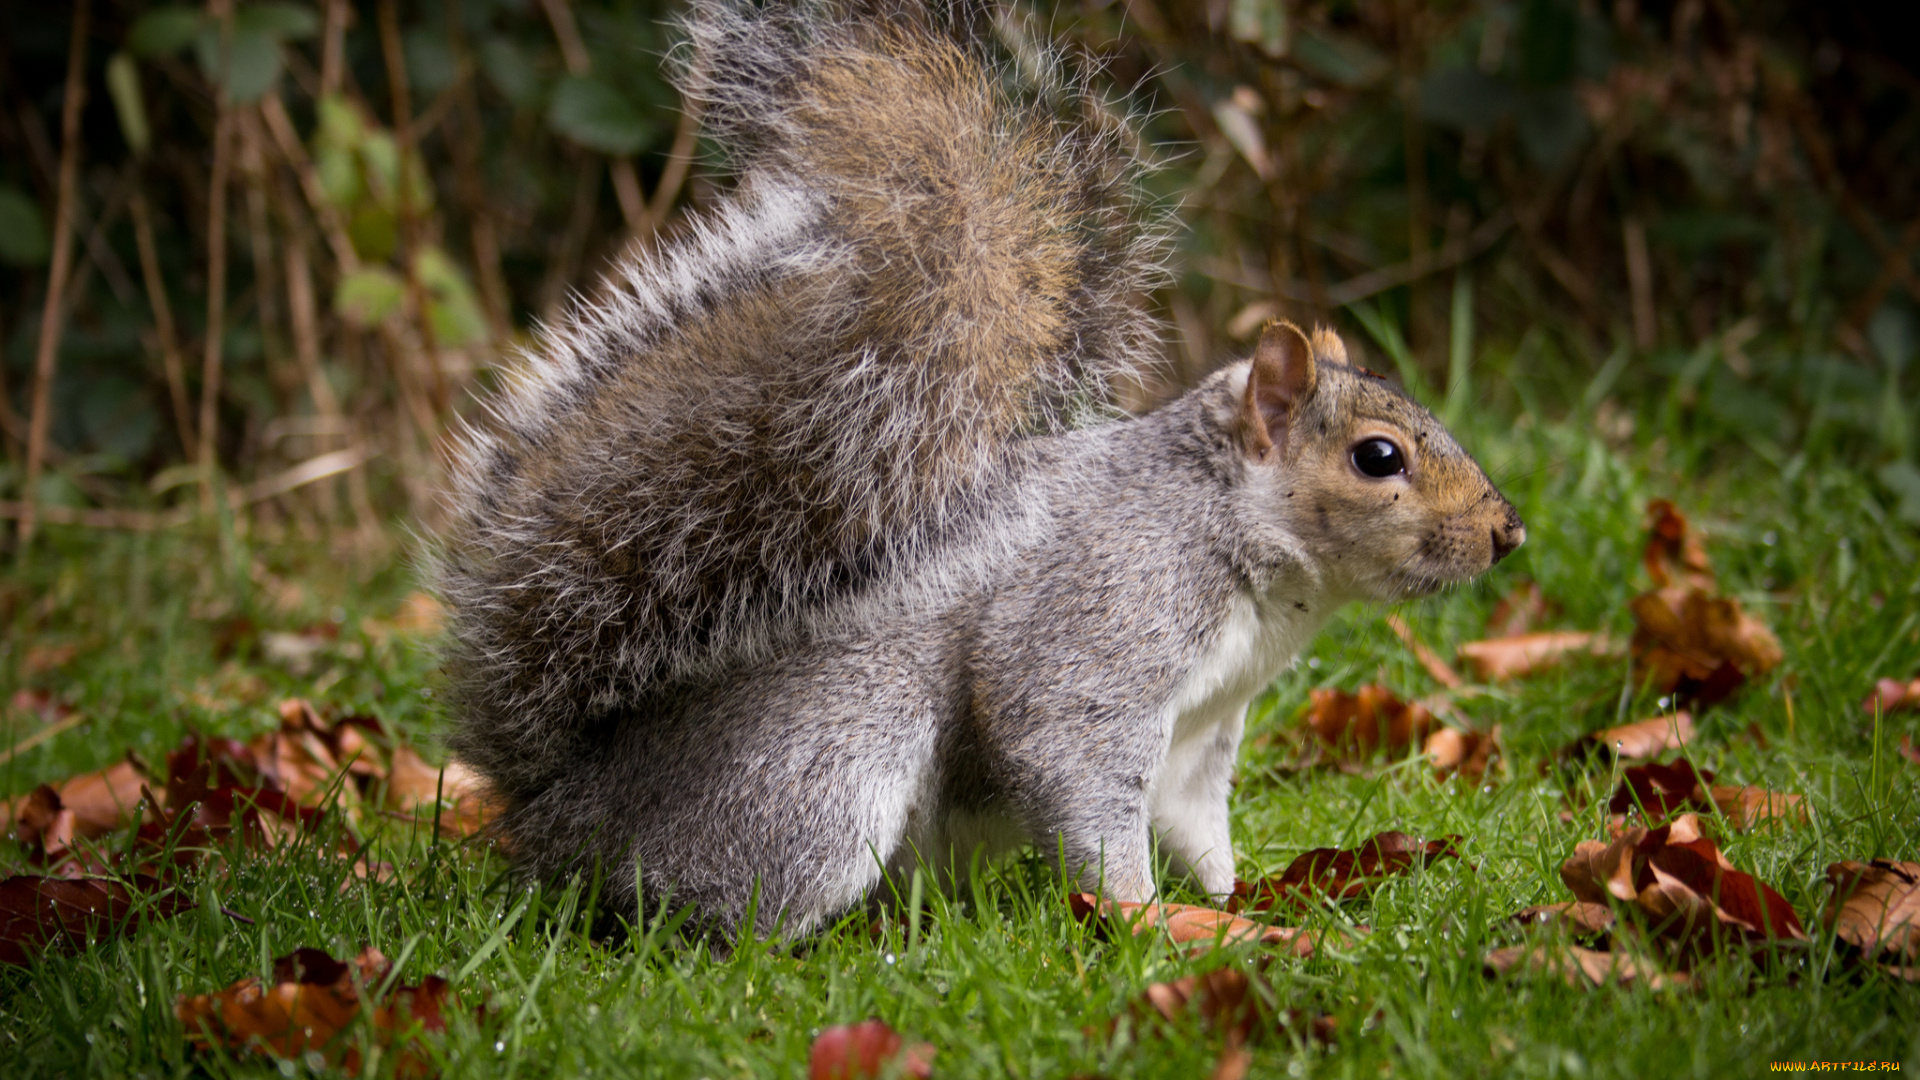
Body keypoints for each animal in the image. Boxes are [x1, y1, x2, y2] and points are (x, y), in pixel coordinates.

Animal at [439, 0, 1528, 933]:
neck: (1227, 533)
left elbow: (1194, 823)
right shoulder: (1102, 621)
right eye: (1378, 456)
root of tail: (562, 814)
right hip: (818, 773)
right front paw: (1149, 928)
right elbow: (1064, 752)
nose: (1507, 532)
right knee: (700, 915)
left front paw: (1241, 903)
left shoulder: (1203, 731)